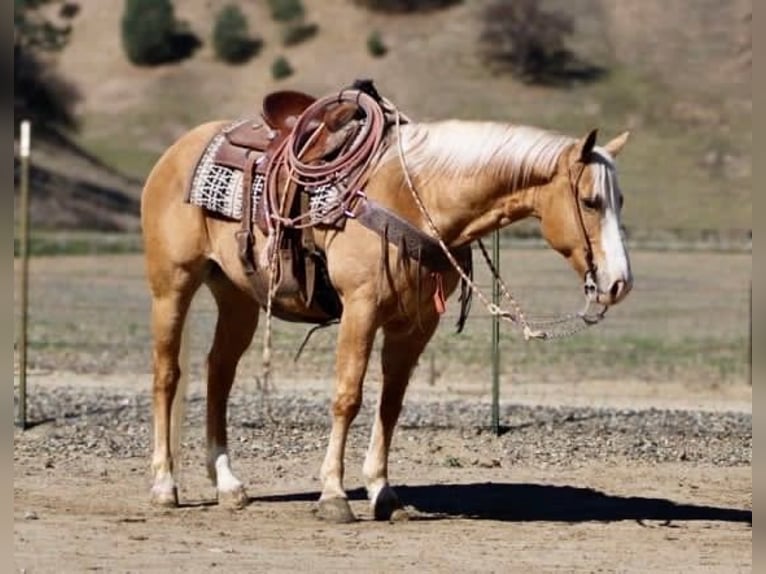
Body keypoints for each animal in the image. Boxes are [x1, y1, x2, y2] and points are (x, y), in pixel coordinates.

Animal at [141, 88, 632, 524]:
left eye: (620, 200)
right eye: (590, 201)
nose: (619, 283)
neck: (416, 197)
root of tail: (176, 151)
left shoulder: (416, 324)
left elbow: (390, 404)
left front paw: (382, 491)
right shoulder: (361, 309)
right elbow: (348, 397)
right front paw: (334, 495)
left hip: (237, 296)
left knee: (219, 373)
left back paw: (228, 485)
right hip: (173, 285)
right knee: (168, 374)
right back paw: (164, 486)